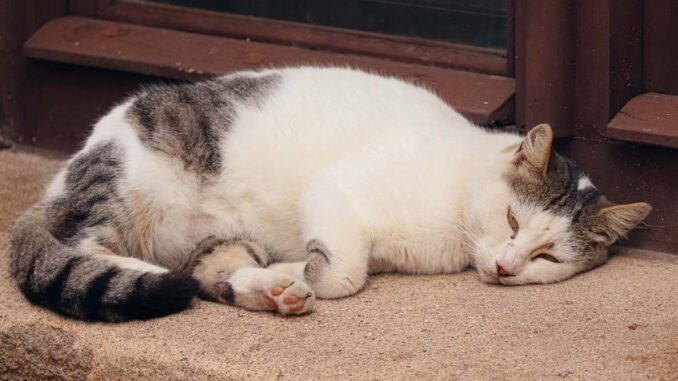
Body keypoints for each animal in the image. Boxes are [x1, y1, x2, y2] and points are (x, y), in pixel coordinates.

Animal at [6, 66, 652, 320]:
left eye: (547, 257)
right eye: (513, 220)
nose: (507, 267)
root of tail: (69, 170)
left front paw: (289, 275)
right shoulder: (336, 191)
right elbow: (343, 272)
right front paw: (308, 269)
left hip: (213, 238)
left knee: (207, 274)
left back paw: (269, 288)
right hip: (127, 188)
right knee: (82, 247)